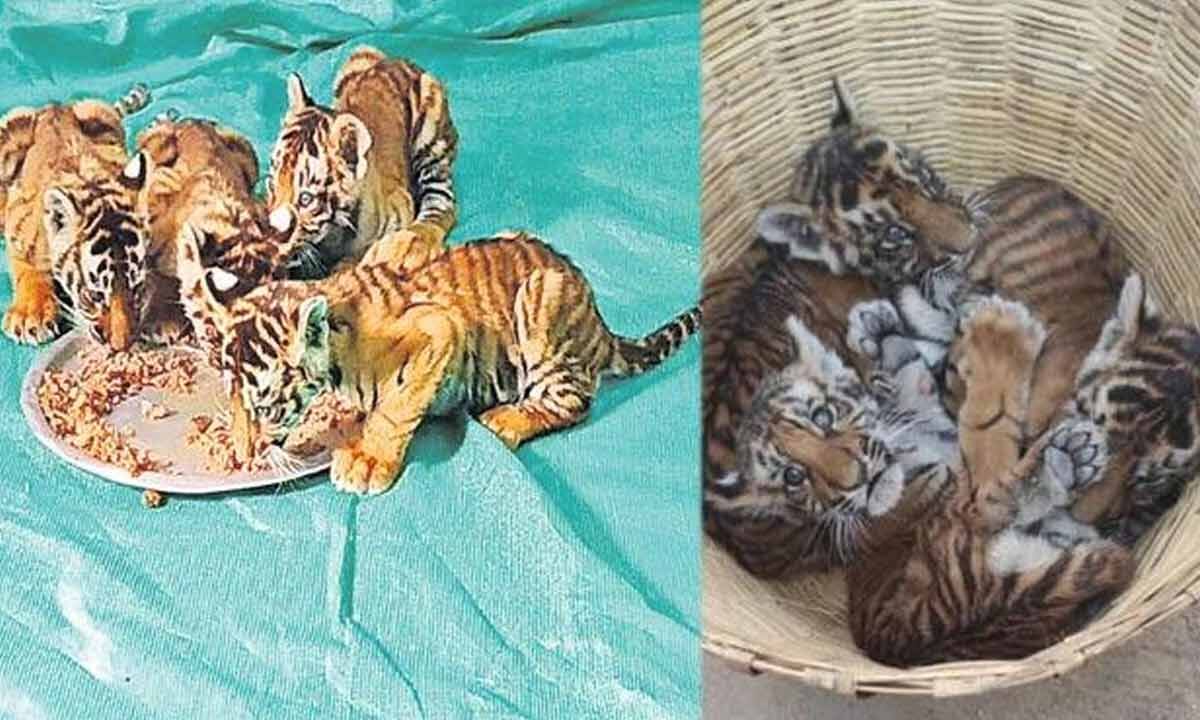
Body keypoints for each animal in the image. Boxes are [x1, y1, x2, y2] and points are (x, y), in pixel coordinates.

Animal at [0, 84, 151, 347]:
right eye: (93, 295)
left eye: (137, 287)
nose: (121, 346)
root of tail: (53, 107)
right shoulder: (17, 230)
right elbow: (25, 267)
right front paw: (32, 315)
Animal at [174, 229, 699, 494]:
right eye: (234, 402)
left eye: (266, 407)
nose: (244, 455)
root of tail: (597, 320)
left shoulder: (439, 330)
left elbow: (395, 407)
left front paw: (368, 460)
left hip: (542, 302)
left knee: (575, 400)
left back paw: (509, 419)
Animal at [265, 46, 458, 279]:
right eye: (271, 184)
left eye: (305, 199)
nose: (271, 238)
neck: (332, 236)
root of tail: (400, 60)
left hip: (431, 140)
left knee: (442, 202)